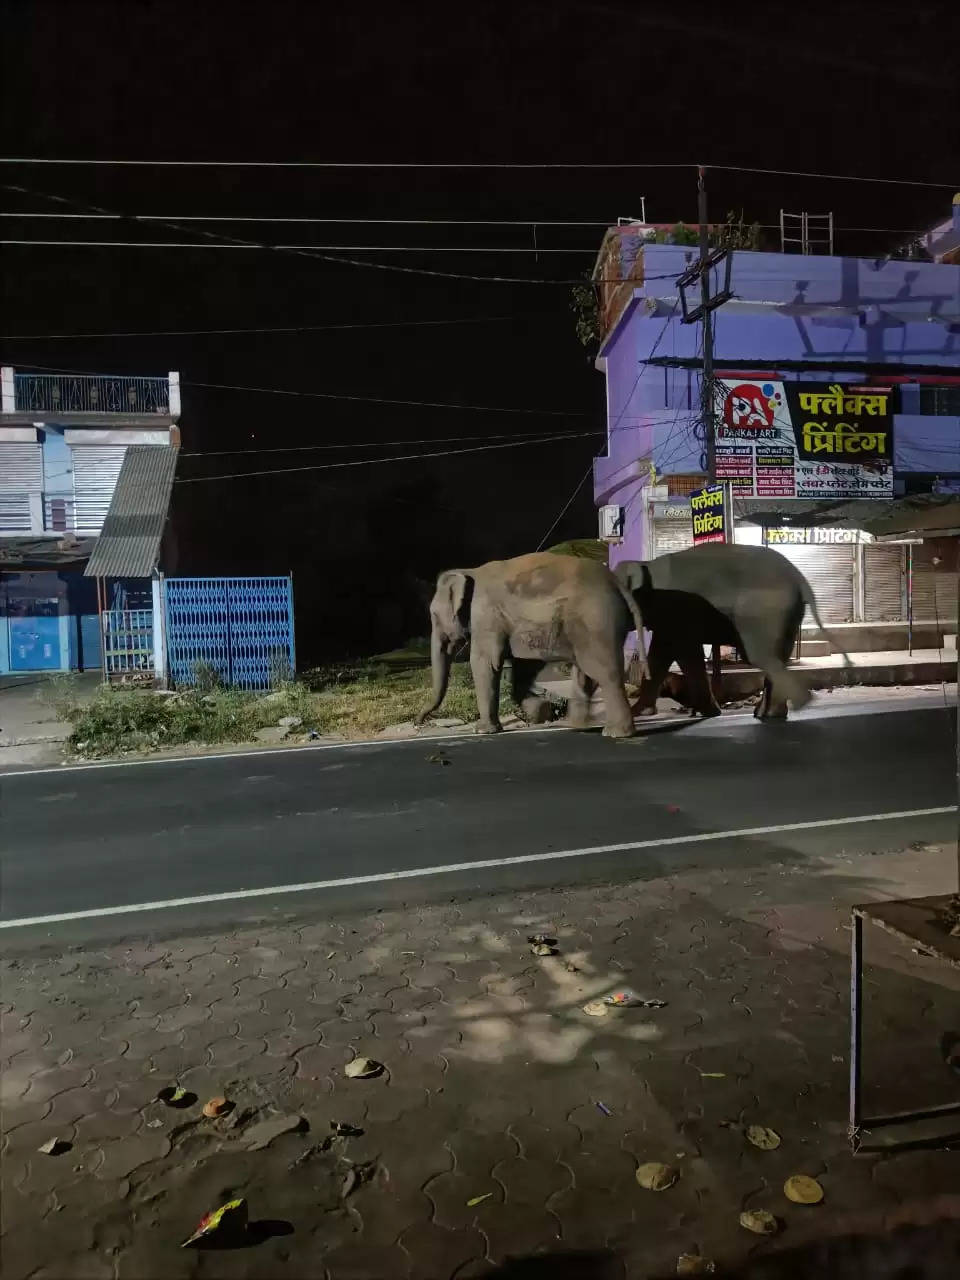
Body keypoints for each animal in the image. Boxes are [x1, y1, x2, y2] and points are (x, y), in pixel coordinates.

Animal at [414, 552, 647, 742]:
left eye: (434, 616)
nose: (418, 722)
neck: (469, 571)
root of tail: (617, 583)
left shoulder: (485, 616)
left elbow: (485, 663)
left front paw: (482, 731)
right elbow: (524, 667)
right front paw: (536, 711)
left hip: (597, 623)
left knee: (604, 672)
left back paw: (616, 733)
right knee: (586, 672)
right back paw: (578, 726)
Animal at [616, 540, 849, 721]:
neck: (647, 567)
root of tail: (800, 579)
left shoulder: (676, 610)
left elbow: (682, 651)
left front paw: (708, 712)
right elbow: (667, 652)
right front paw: (642, 712)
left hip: (766, 611)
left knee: (762, 656)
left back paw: (774, 711)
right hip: (786, 615)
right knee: (776, 657)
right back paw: (769, 714)